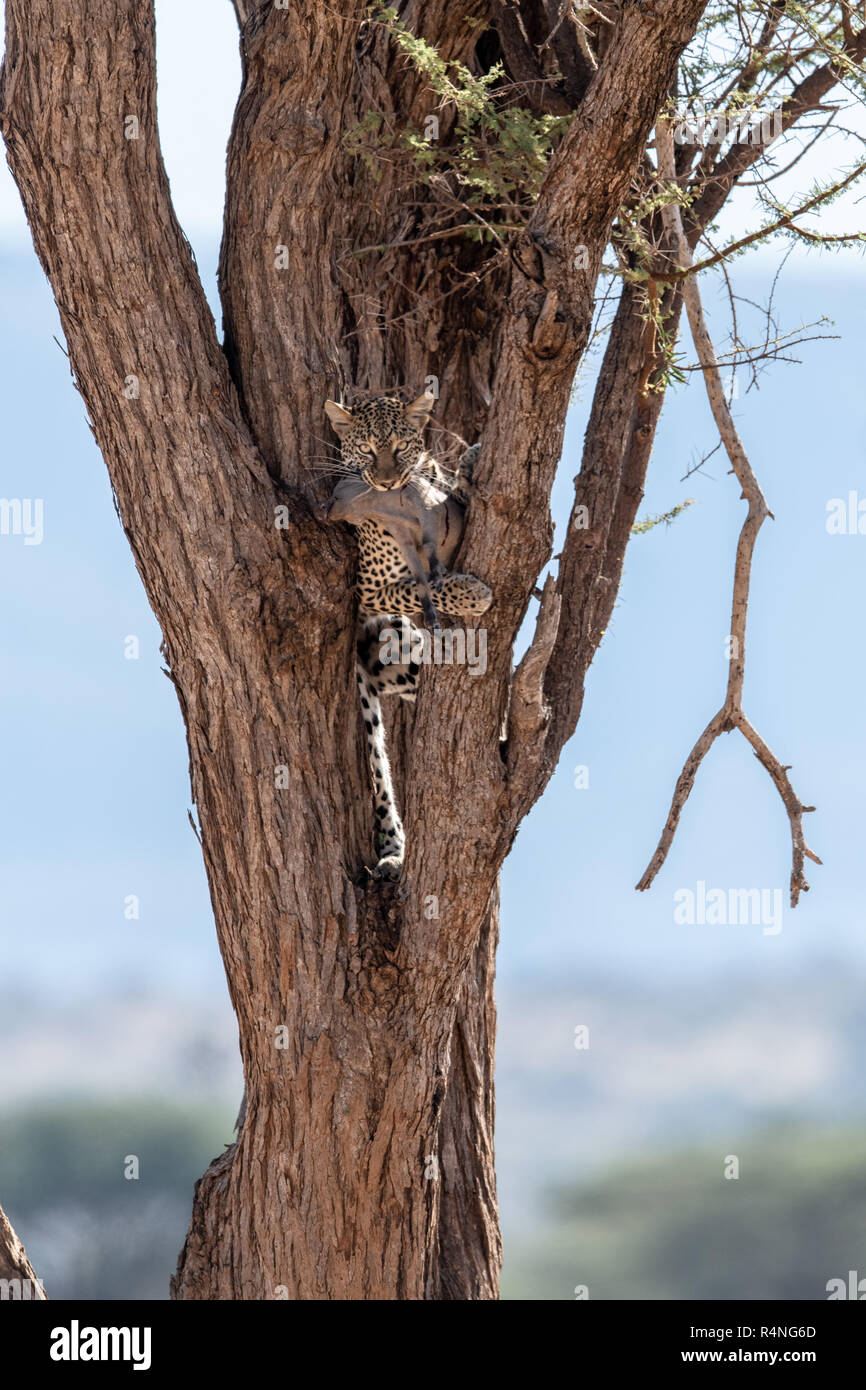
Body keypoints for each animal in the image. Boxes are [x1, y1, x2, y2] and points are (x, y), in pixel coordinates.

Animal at [322, 389, 492, 879]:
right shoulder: (370, 589)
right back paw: (392, 851)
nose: (386, 484)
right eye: (366, 450)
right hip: (373, 673)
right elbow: (420, 588)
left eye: (400, 447)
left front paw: (469, 461)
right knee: (379, 773)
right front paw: (469, 594)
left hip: (394, 654)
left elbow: (452, 490)